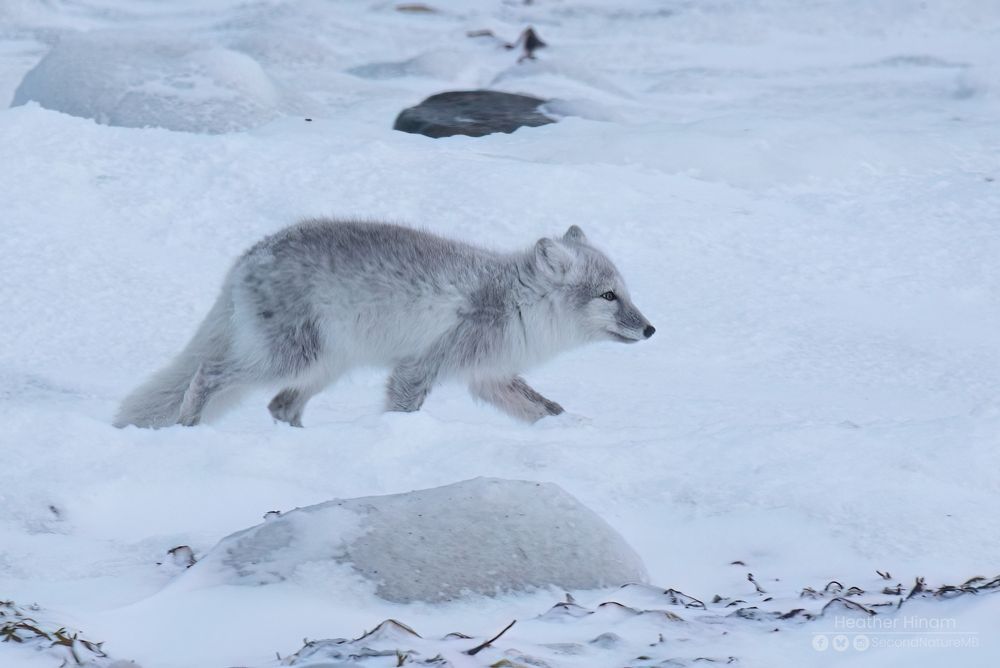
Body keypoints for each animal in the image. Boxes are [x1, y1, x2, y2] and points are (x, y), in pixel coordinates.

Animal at [114, 220, 654, 429]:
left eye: (626, 292)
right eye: (608, 296)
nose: (651, 331)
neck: (516, 302)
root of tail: (250, 255)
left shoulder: (490, 377)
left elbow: (546, 409)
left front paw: (577, 429)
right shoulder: (420, 367)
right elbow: (404, 409)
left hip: (323, 367)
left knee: (280, 406)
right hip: (289, 358)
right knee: (207, 373)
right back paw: (188, 426)